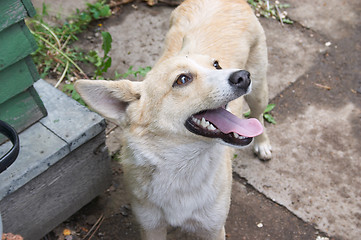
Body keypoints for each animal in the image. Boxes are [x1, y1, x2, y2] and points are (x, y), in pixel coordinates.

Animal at [74, 0, 270, 238]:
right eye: (182, 79)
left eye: (216, 65)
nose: (242, 76)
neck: (182, 167)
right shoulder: (151, 227)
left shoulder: (213, 229)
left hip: (258, 91)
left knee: (258, 117)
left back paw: (263, 145)